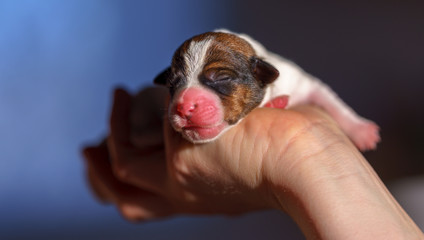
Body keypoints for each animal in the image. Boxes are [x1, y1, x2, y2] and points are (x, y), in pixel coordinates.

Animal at [154, 29, 380, 151]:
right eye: (172, 84)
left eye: (222, 78)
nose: (183, 107)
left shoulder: (299, 80)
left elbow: (331, 102)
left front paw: (362, 131)